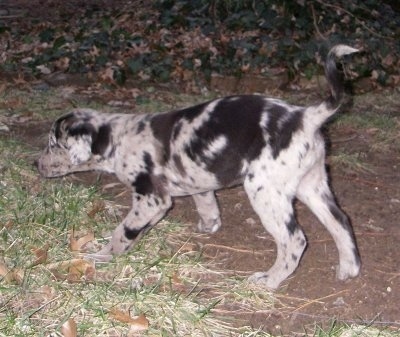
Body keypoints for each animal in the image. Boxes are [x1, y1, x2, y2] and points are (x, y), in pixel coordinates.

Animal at [38, 43, 362, 288]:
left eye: (53, 144)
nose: (35, 163)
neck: (117, 138)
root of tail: (304, 116)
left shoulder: (151, 199)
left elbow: (124, 231)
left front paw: (104, 255)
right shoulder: (197, 180)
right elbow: (205, 201)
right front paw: (209, 225)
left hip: (266, 192)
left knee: (294, 240)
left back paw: (269, 281)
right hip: (313, 186)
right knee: (341, 221)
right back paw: (349, 268)